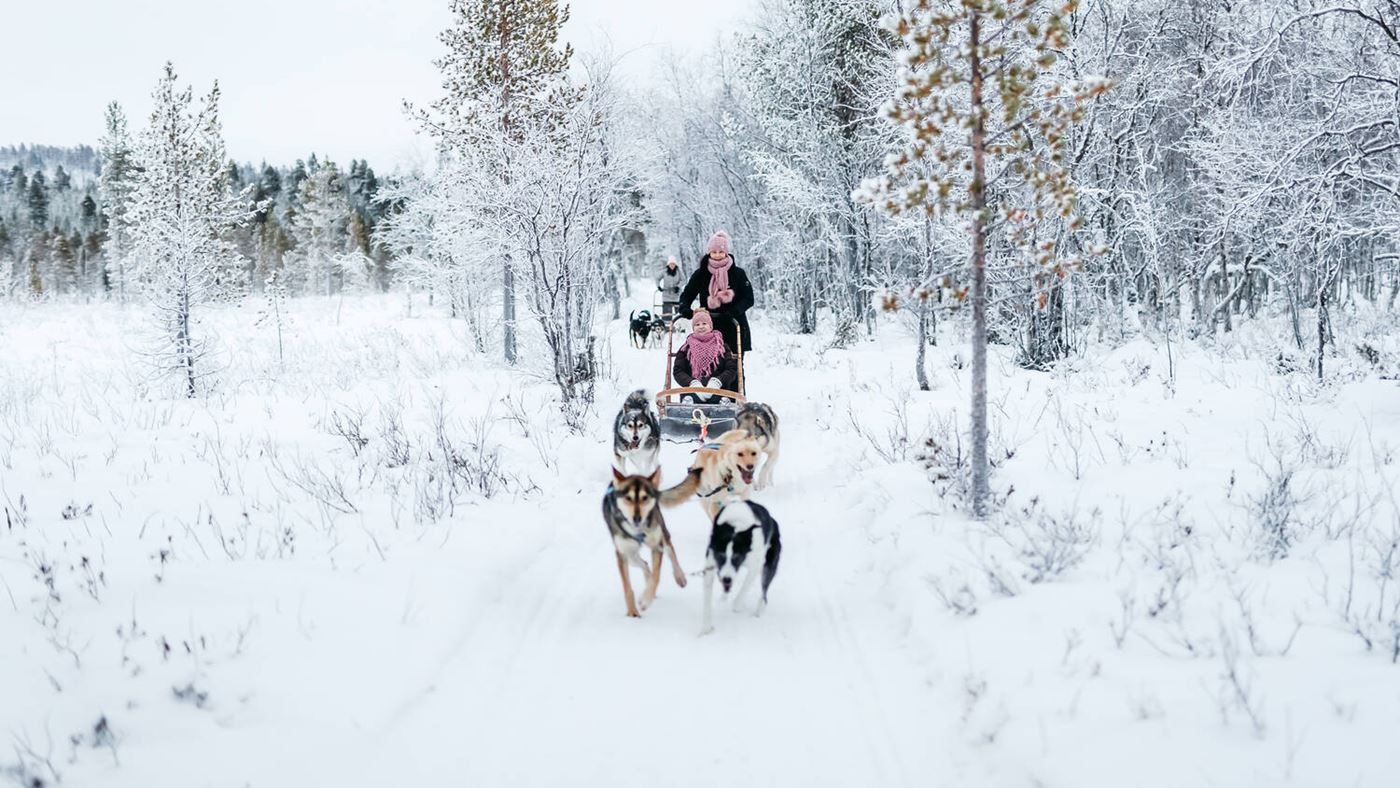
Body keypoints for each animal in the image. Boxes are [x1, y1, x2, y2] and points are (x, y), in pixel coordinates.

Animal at [602, 467, 700, 615]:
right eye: (628, 498)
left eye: (645, 498)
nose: (637, 518)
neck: (638, 531)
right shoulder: (622, 553)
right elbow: (627, 587)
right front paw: (632, 612)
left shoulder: (656, 546)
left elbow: (656, 577)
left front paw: (645, 601)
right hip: (631, 557)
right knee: (645, 564)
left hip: (662, 533)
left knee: (670, 550)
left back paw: (679, 577)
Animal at [697, 503, 778, 638]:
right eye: (721, 556)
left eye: (737, 557)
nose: (727, 579)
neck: (735, 526)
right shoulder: (711, 565)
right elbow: (707, 600)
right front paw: (706, 628)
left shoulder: (755, 565)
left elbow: (745, 587)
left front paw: (737, 605)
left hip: (768, 567)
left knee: (764, 593)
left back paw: (758, 612)